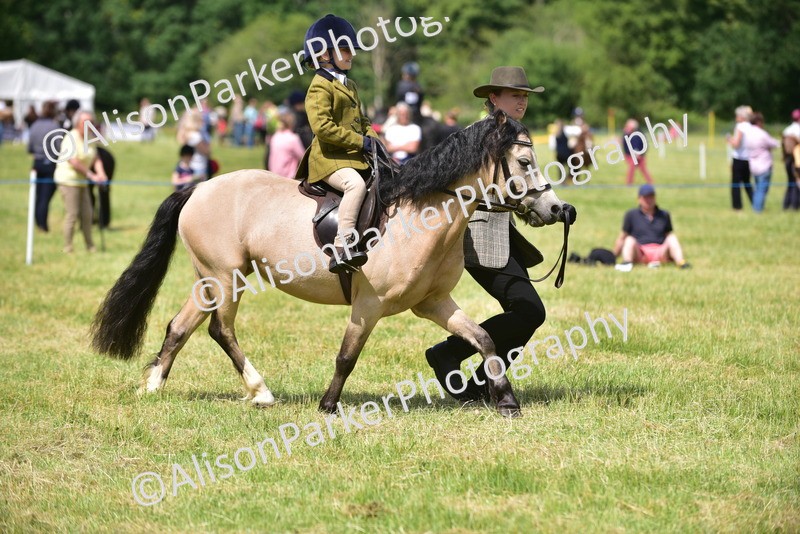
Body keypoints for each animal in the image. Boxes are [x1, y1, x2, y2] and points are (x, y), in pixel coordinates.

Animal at [91, 112, 567, 417]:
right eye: (524, 161)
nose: (556, 209)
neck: (421, 216)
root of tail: (198, 187)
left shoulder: (433, 302)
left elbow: (485, 339)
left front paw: (506, 401)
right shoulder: (368, 305)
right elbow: (346, 356)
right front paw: (328, 405)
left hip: (211, 279)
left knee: (181, 326)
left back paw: (154, 386)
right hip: (226, 278)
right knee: (219, 329)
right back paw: (260, 392)